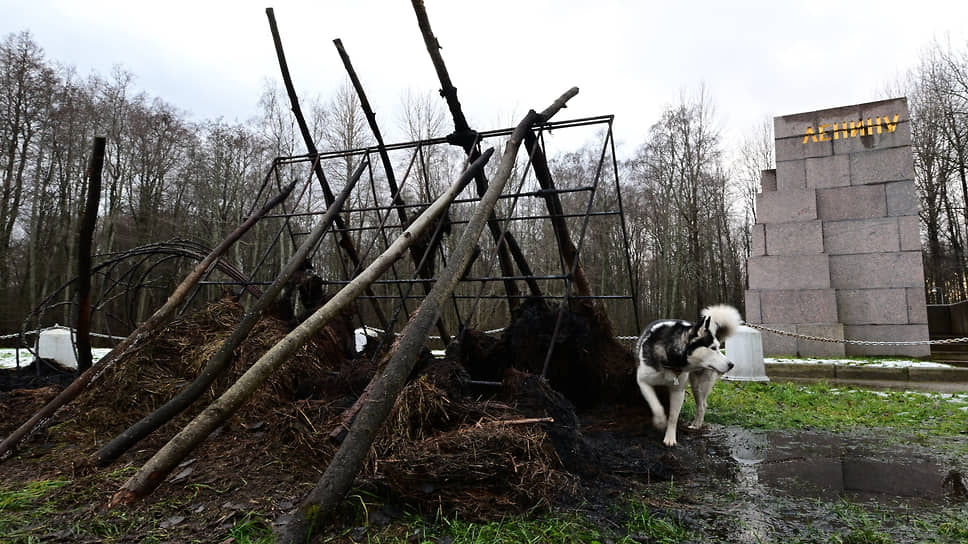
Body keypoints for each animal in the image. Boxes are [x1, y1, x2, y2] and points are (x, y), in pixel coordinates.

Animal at [636, 306, 740, 446]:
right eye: (713, 348)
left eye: (718, 348)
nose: (731, 365)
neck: (671, 361)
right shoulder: (642, 381)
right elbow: (656, 406)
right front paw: (660, 421)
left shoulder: (678, 390)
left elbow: (673, 416)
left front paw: (670, 437)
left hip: (699, 385)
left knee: (702, 405)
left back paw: (697, 425)